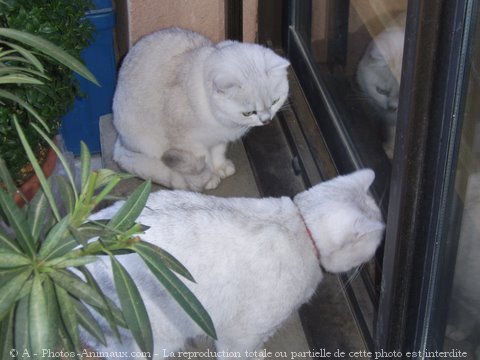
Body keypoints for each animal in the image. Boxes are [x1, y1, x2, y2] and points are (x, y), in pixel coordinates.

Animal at [84, 169, 384, 360]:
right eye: (377, 243)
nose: (378, 253)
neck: (301, 225)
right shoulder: (240, 335)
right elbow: (238, 352)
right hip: (155, 338)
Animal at [112, 27, 288, 191]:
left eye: (275, 102)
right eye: (249, 113)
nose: (266, 120)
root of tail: (120, 140)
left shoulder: (220, 137)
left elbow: (218, 153)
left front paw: (220, 167)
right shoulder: (190, 143)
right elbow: (205, 160)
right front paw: (211, 178)